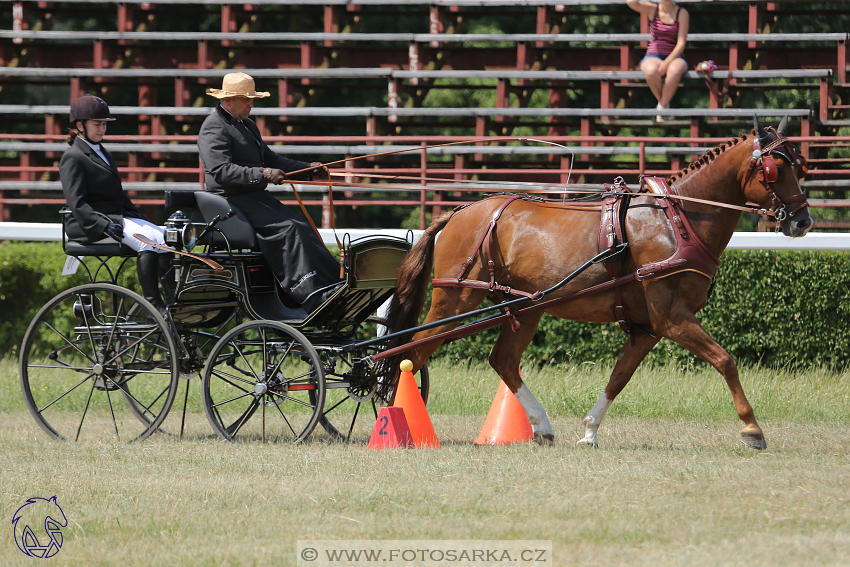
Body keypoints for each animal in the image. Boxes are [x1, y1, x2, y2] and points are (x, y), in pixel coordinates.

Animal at [376, 117, 808, 450]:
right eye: (775, 169)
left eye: (801, 165)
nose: (802, 221)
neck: (677, 220)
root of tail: (459, 211)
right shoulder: (673, 319)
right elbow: (725, 360)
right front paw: (752, 428)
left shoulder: (648, 327)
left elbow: (619, 377)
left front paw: (589, 431)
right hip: (454, 299)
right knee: (411, 353)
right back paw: (396, 419)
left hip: (525, 307)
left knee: (502, 360)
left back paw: (542, 426)